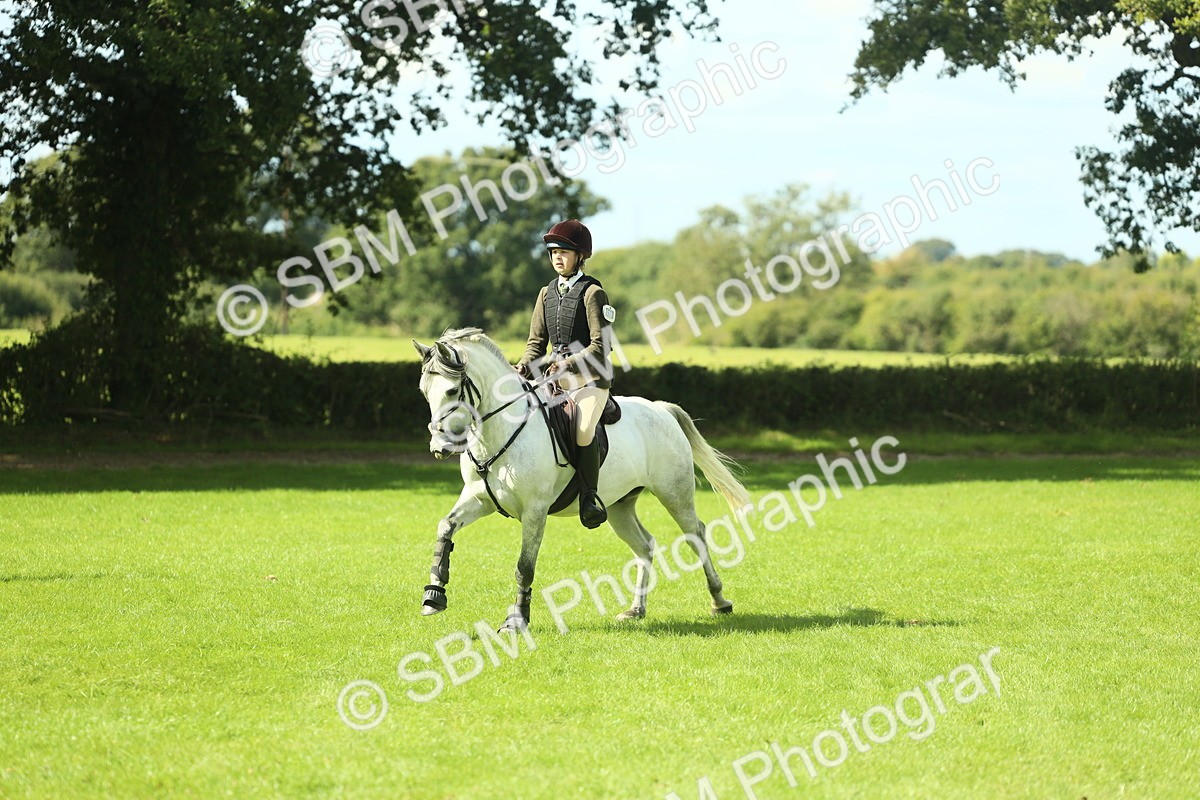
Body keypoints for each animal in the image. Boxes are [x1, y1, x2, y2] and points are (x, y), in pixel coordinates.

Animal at [412, 327, 750, 632]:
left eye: (451, 391)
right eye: (424, 392)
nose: (439, 447)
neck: (501, 431)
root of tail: (660, 409)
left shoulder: (534, 510)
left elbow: (524, 566)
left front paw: (517, 620)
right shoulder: (479, 499)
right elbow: (446, 527)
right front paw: (434, 596)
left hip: (674, 494)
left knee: (696, 534)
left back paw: (719, 600)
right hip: (619, 506)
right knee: (645, 545)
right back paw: (636, 609)